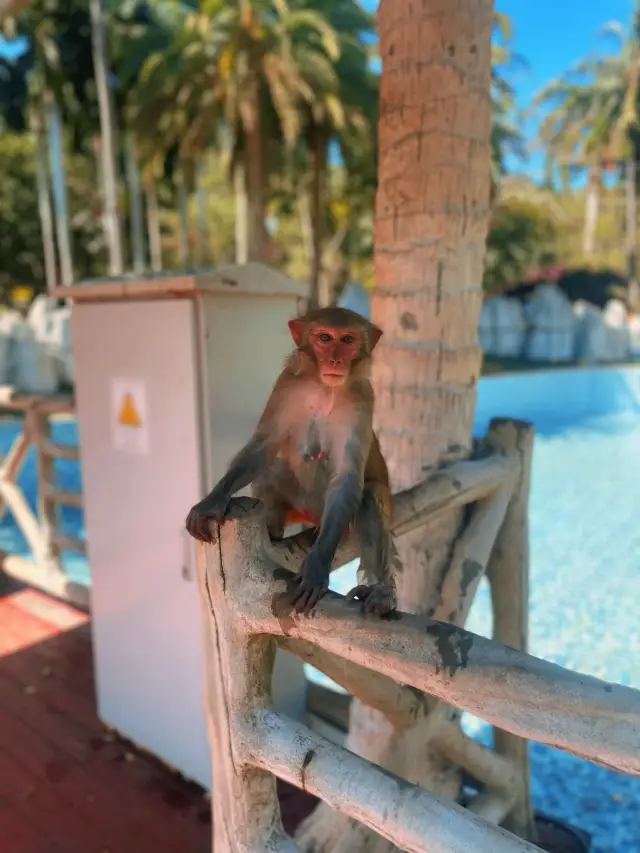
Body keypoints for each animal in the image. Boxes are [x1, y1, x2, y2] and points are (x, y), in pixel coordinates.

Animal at [185, 306, 397, 617]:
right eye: (324, 338)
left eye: (348, 340)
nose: (335, 359)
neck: (326, 387)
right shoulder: (287, 384)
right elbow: (263, 446)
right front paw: (212, 501)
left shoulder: (363, 398)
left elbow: (347, 477)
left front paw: (317, 567)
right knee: (271, 471)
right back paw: (273, 527)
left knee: (371, 493)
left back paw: (378, 591)